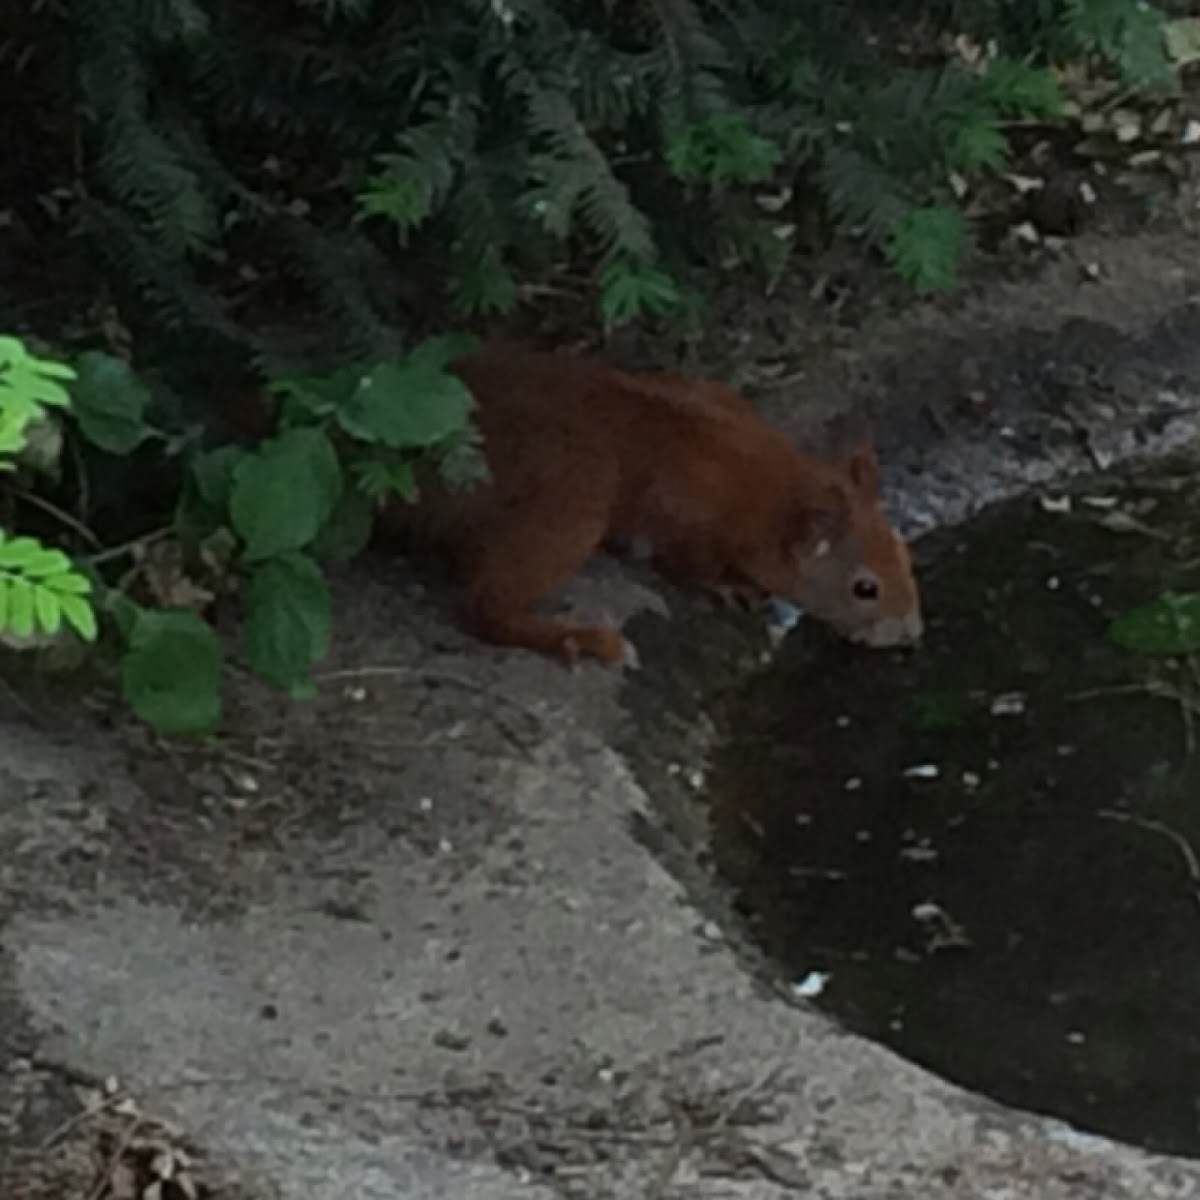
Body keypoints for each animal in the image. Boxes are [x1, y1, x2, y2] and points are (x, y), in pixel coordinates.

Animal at [398, 343, 921, 667]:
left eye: (904, 553)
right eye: (865, 589)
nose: (913, 634)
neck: (763, 483)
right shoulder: (683, 511)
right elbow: (689, 561)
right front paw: (731, 585)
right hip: (572, 498)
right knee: (487, 605)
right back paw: (582, 639)